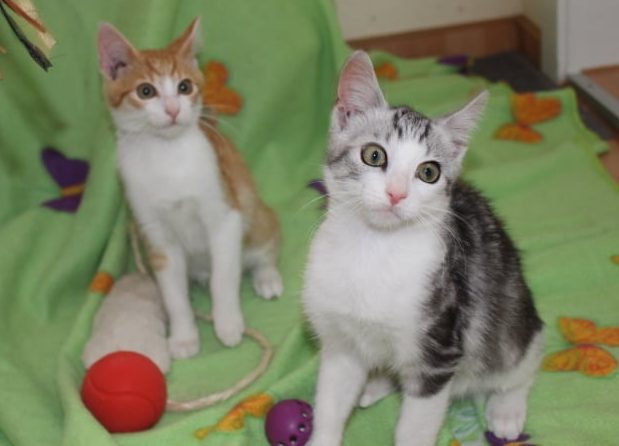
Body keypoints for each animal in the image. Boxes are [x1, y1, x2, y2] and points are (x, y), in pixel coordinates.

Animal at [97, 19, 284, 358]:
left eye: (184, 86)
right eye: (146, 91)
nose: (173, 109)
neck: (167, 157)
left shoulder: (226, 217)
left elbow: (224, 277)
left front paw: (228, 323)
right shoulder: (157, 237)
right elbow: (173, 295)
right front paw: (184, 336)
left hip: (255, 212)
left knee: (265, 245)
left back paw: (266, 277)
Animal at [302, 53, 544, 446]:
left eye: (428, 172)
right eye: (373, 155)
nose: (396, 193)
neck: (375, 248)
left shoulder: (438, 352)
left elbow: (415, 427)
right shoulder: (341, 345)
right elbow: (330, 403)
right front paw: (324, 435)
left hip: (510, 319)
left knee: (521, 361)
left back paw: (506, 408)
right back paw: (376, 384)